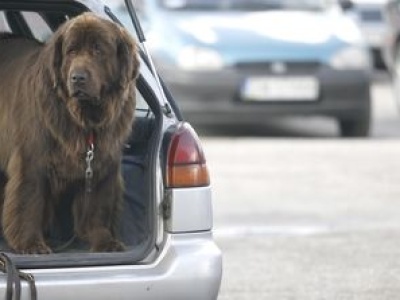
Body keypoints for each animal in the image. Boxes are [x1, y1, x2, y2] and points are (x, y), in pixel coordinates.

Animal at [0, 13, 140, 253]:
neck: (85, 120)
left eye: (98, 50)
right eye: (71, 51)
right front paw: (31, 243)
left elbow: (97, 206)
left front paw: (102, 240)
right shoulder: (32, 160)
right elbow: (29, 201)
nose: (77, 77)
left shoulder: (101, 166)